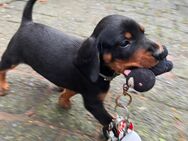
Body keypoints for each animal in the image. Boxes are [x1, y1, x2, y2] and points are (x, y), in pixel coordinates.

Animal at [0, 0, 167, 125]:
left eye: (143, 32)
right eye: (125, 43)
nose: (162, 53)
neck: (100, 71)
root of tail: (27, 23)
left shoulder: (76, 85)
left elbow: (69, 92)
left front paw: (63, 101)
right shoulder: (94, 103)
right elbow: (109, 121)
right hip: (12, 57)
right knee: (2, 69)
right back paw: (3, 87)